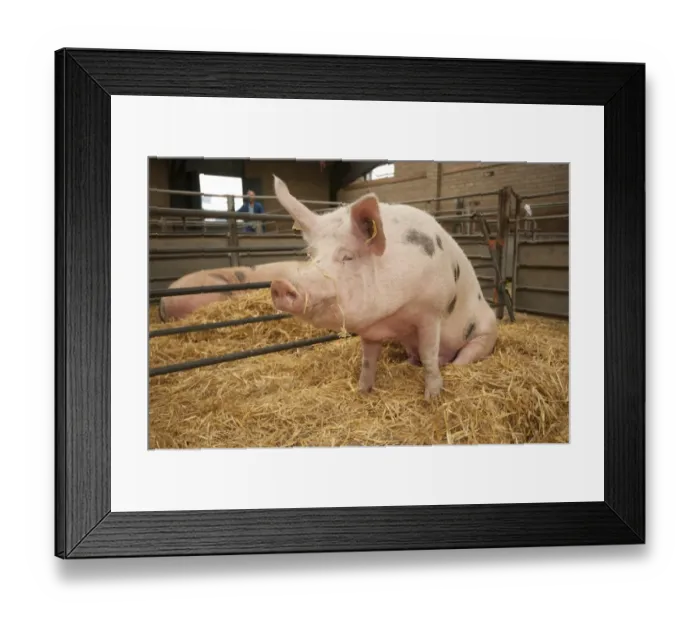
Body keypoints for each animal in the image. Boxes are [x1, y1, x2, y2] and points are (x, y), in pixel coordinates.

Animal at [269, 175, 499, 400]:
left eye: (347, 256)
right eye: (311, 255)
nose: (280, 284)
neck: (391, 318)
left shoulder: (431, 312)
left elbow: (429, 355)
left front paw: (432, 398)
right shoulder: (370, 331)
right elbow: (368, 361)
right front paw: (362, 392)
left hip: (485, 334)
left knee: (463, 357)